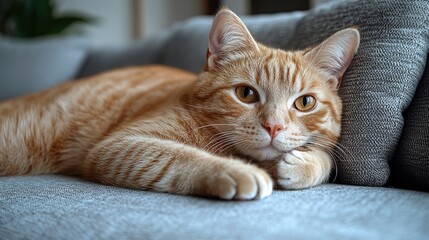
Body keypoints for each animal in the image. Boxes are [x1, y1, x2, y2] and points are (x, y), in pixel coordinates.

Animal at [0, 9, 358, 200]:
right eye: (246, 94)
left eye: (305, 102)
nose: (274, 126)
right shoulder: (120, 146)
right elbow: (180, 157)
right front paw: (236, 170)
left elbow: (327, 158)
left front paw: (305, 164)